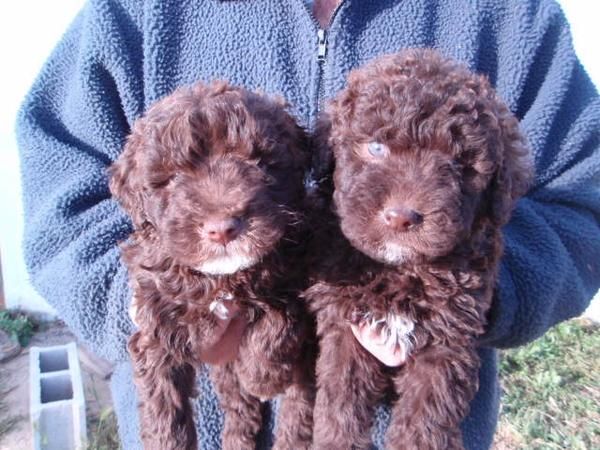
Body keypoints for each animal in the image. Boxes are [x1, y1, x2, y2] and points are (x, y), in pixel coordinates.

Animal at [109, 81, 314, 450]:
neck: (222, 279)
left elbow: (279, 317)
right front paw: (166, 439)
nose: (222, 229)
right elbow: (163, 405)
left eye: (260, 162)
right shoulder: (155, 323)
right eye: (171, 178)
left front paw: (261, 376)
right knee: (239, 407)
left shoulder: (301, 270)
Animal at [308, 50, 532, 450]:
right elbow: (341, 402)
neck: (402, 270)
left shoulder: (449, 337)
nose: (401, 217)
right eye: (376, 147)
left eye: (460, 163)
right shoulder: (346, 325)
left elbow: (426, 417)